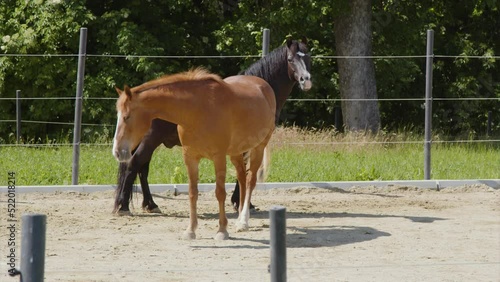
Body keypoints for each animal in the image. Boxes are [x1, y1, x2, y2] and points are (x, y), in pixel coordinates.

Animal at [112, 68, 276, 240]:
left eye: (127, 116)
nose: (117, 152)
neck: (198, 110)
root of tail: (264, 85)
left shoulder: (218, 157)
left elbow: (220, 193)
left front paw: (222, 230)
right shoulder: (190, 157)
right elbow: (192, 193)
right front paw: (190, 230)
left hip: (258, 148)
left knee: (250, 181)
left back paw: (243, 221)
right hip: (236, 152)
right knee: (242, 179)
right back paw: (239, 220)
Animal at [114, 39, 310, 214]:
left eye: (308, 57)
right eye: (290, 59)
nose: (305, 79)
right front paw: (241, 203)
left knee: (142, 169)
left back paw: (150, 204)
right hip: (150, 141)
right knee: (134, 165)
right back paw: (123, 206)